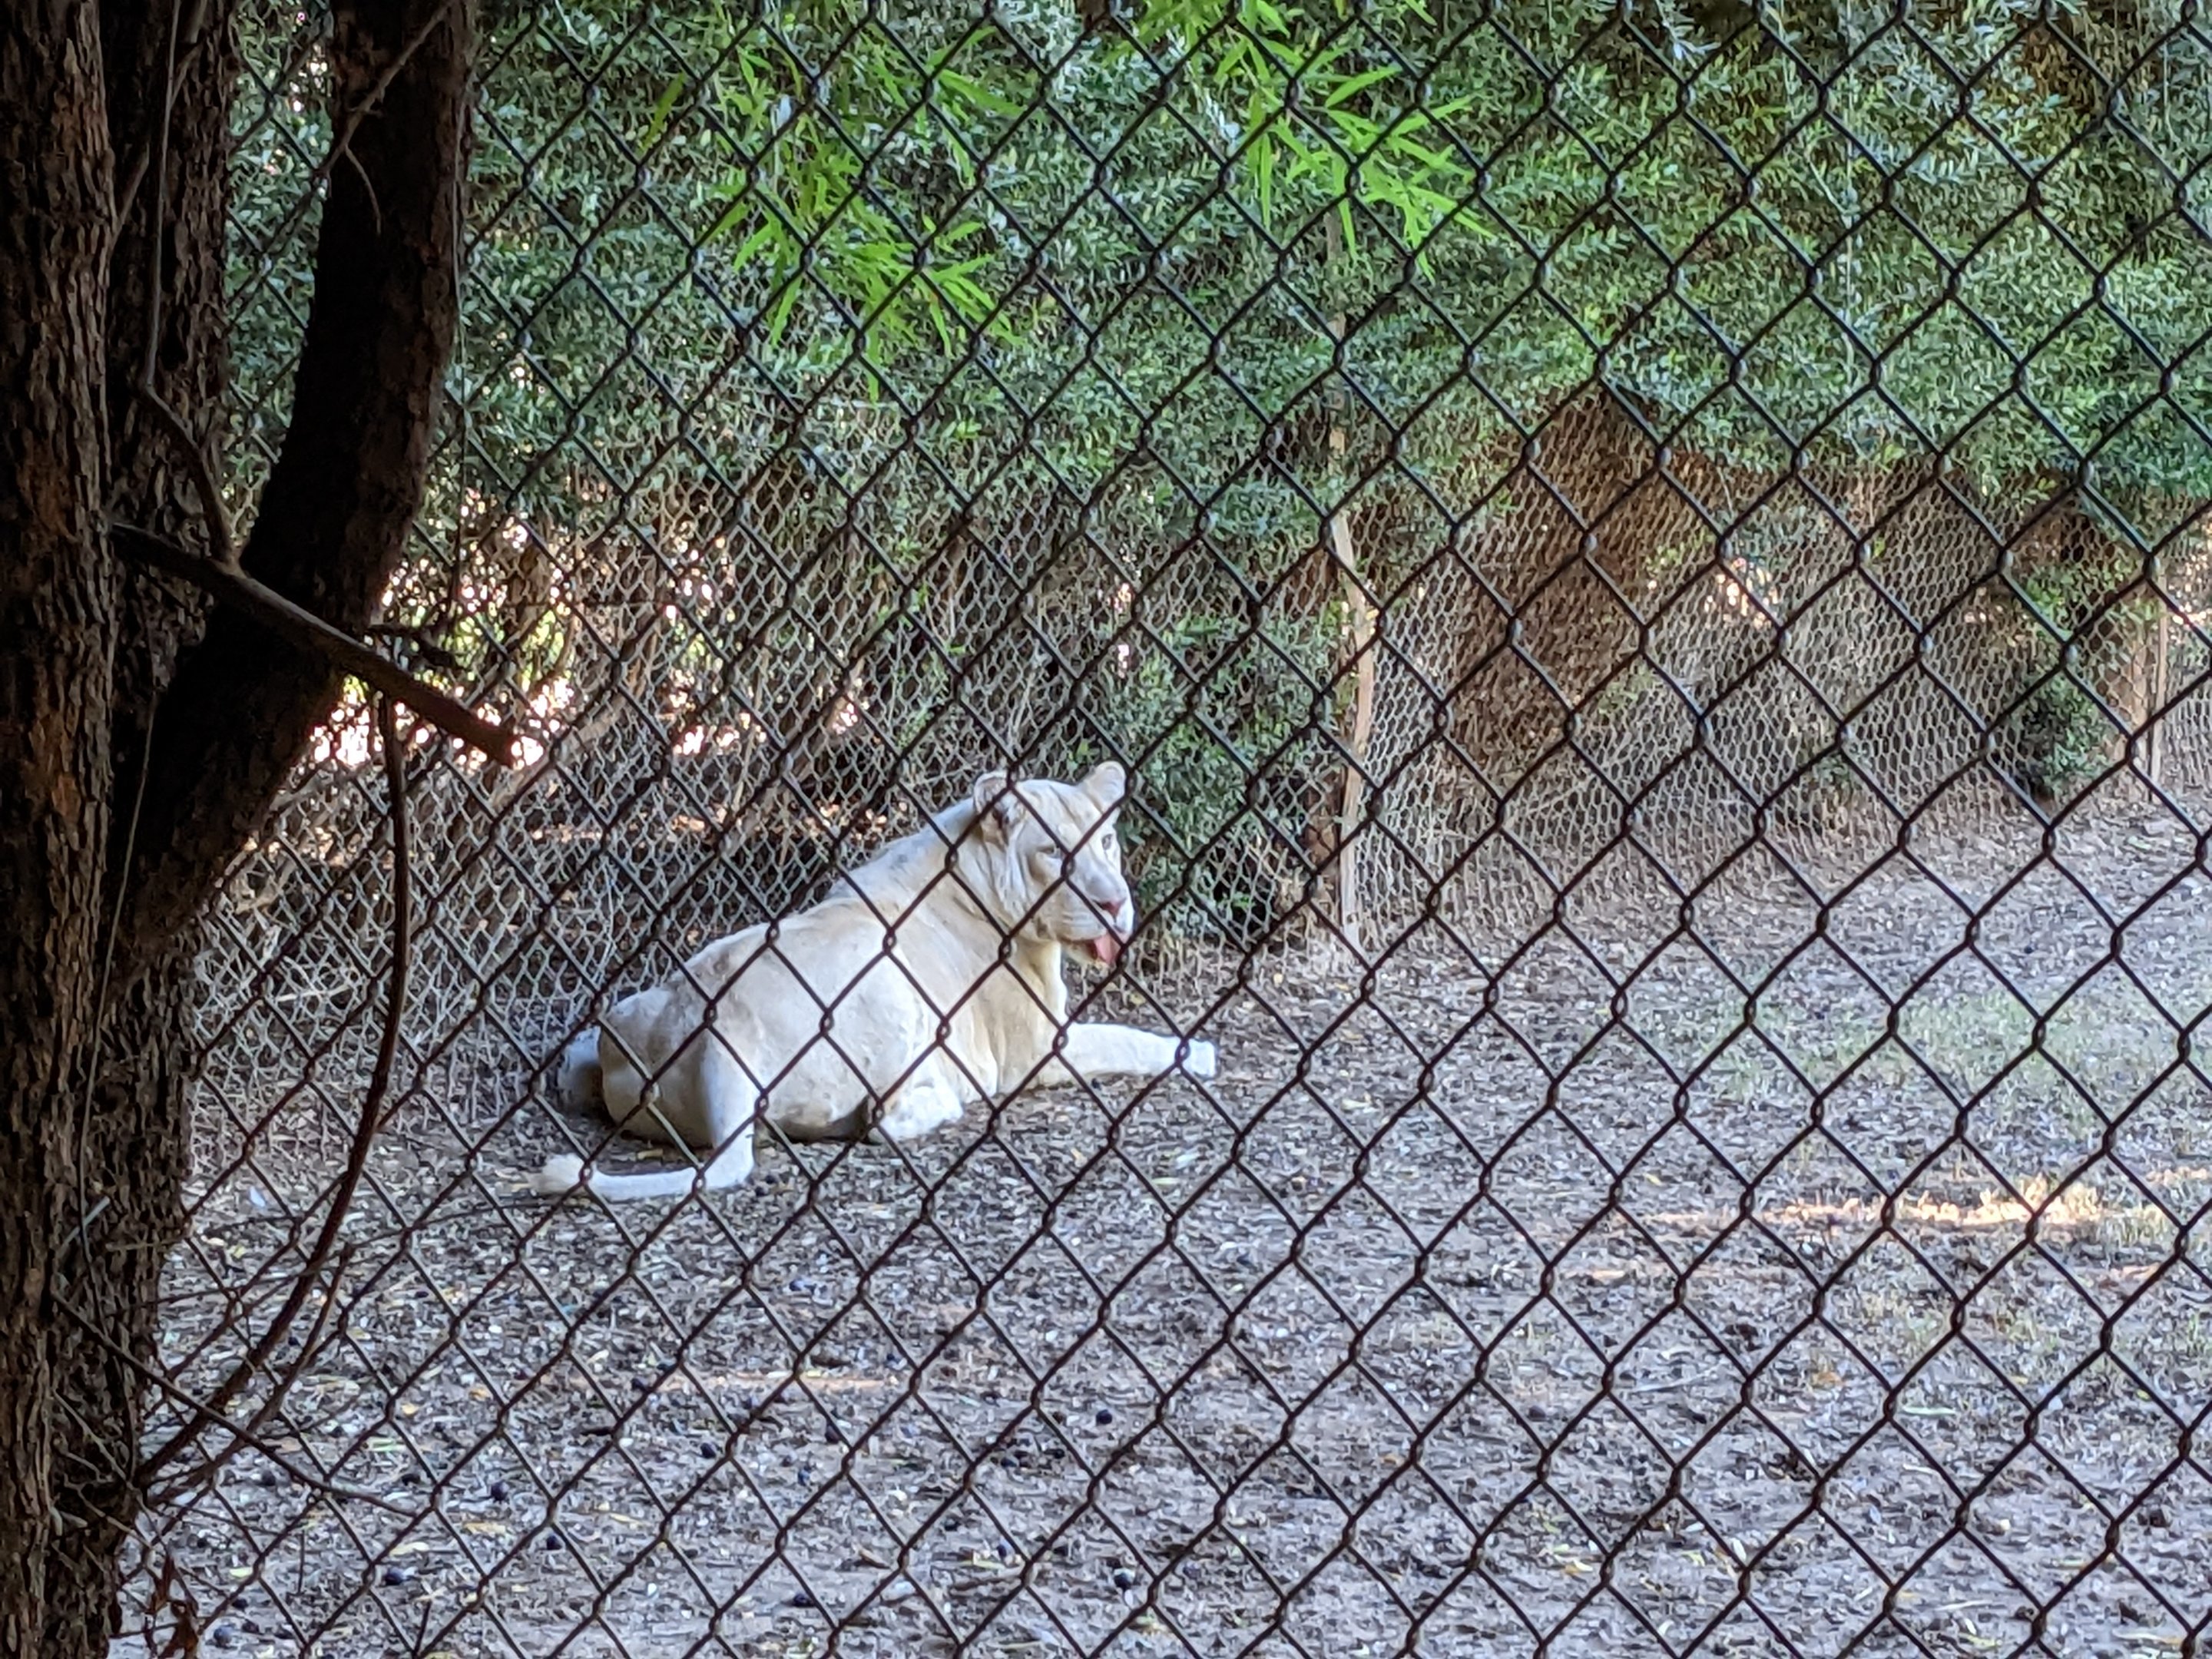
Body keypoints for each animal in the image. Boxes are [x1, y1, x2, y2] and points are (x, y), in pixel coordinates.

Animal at [531, 762, 1216, 1201]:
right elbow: (1127, 1038)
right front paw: (1200, 1052)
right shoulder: (1038, 1046)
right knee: (882, 1117)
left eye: (1106, 842)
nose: (1115, 903)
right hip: (884, 980)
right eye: (1053, 851)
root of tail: (714, 1043)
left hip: (633, 1013)